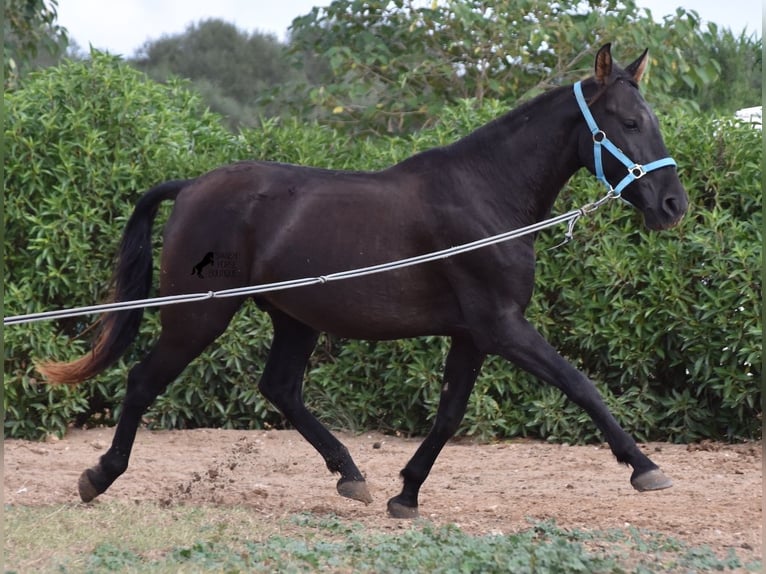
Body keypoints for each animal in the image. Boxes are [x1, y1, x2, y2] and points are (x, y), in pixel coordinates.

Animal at [40, 45, 688, 520]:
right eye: (630, 122)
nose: (673, 205)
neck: (487, 195)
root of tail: (192, 186)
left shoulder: (473, 335)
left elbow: (448, 413)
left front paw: (406, 494)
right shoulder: (502, 326)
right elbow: (580, 385)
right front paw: (645, 467)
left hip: (293, 317)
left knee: (280, 389)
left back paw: (350, 475)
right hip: (198, 314)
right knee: (144, 380)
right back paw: (99, 476)